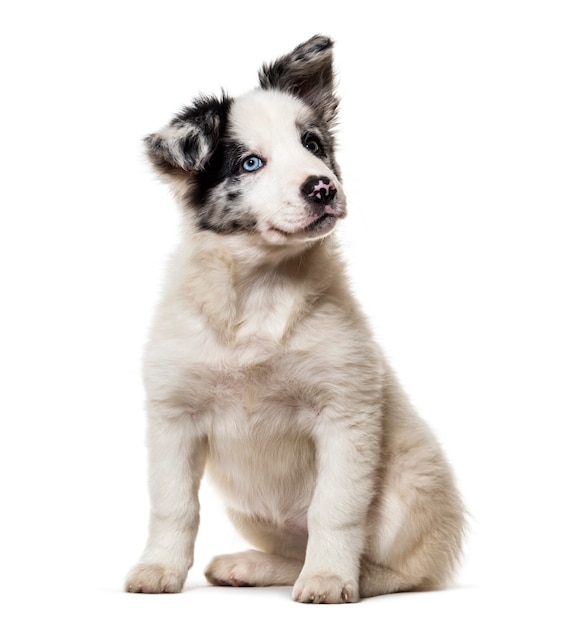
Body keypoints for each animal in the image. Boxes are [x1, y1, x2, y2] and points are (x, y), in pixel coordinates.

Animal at [127, 35, 468, 604]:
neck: (261, 289)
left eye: (312, 143)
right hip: (252, 510)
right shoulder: (173, 416)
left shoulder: (346, 412)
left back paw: (344, 576)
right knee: (292, 553)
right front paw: (159, 568)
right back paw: (250, 566)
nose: (322, 188)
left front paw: (330, 578)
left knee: (399, 570)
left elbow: (335, 510)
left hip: (407, 490)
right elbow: (174, 505)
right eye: (249, 163)